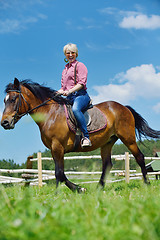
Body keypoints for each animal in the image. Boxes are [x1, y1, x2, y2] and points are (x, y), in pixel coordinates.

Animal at [1, 78, 160, 192]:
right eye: (4, 100)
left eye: (13, 99)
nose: (5, 123)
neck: (50, 114)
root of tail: (124, 107)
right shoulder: (54, 149)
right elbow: (59, 173)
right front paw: (67, 191)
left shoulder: (58, 147)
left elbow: (59, 173)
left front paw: (75, 190)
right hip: (107, 142)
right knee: (107, 164)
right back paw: (99, 188)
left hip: (128, 138)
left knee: (139, 157)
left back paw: (147, 184)